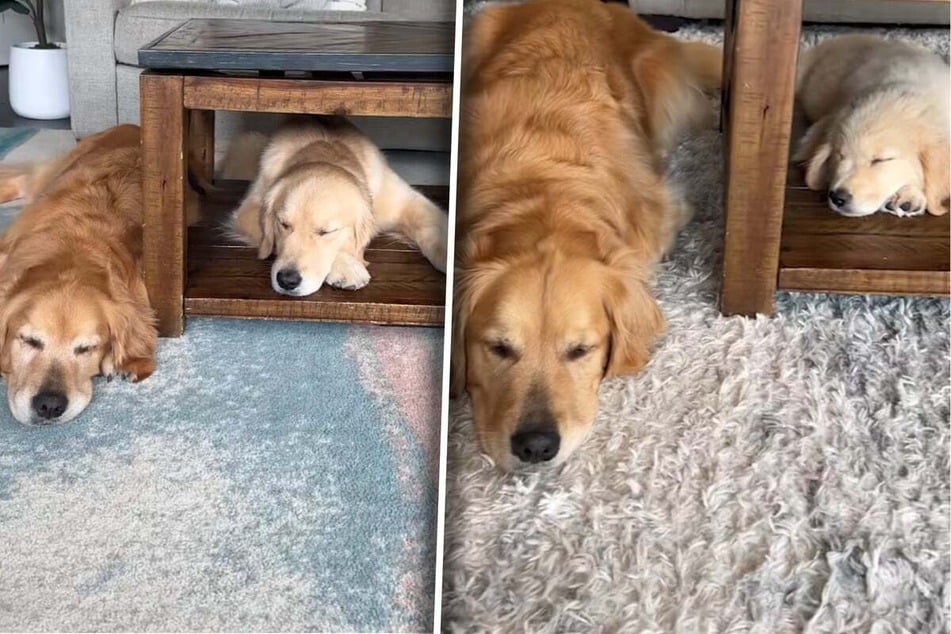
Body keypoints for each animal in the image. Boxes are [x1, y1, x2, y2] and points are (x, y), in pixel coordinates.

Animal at [231, 115, 454, 296]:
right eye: (283, 224)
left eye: (326, 232)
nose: (287, 280)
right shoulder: (248, 209)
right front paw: (345, 266)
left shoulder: (406, 201)